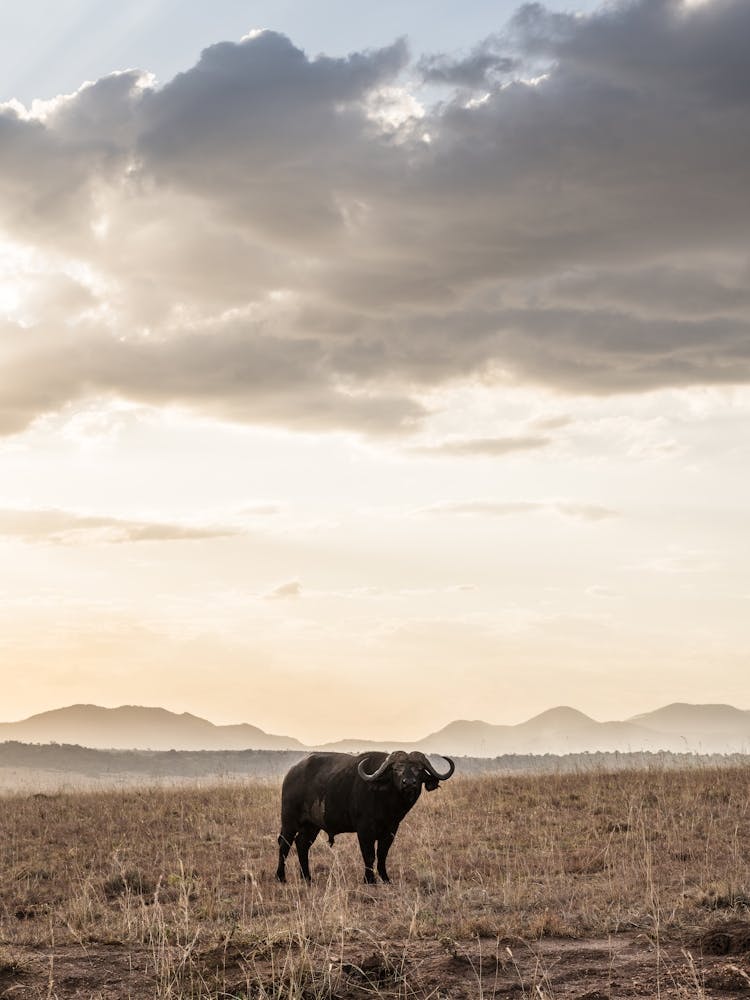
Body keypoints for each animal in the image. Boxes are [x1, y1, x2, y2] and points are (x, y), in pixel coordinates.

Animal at [276, 749, 455, 884]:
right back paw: (281, 877)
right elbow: (369, 855)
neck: (386, 801)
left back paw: (307, 877)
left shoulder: (391, 830)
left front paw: (385, 878)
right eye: (396, 769)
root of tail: (292, 772)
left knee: (302, 844)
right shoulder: (364, 831)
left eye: (419, 769)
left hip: (311, 826)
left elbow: (382, 854)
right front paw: (370, 880)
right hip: (289, 820)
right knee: (284, 844)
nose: (409, 783)